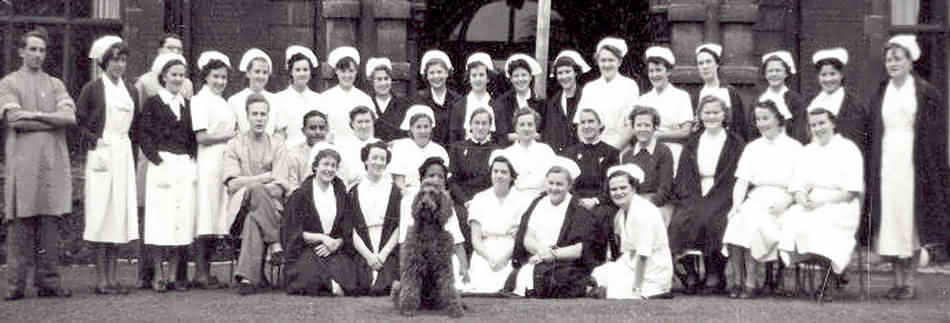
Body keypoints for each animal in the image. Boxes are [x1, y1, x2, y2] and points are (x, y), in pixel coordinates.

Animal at [392, 180, 466, 318]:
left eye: (432, 193)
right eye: (422, 193)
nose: (423, 203)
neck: (429, 228)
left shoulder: (444, 266)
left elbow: (448, 287)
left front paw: (455, 309)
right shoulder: (413, 264)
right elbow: (411, 286)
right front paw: (408, 308)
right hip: (397, 285)